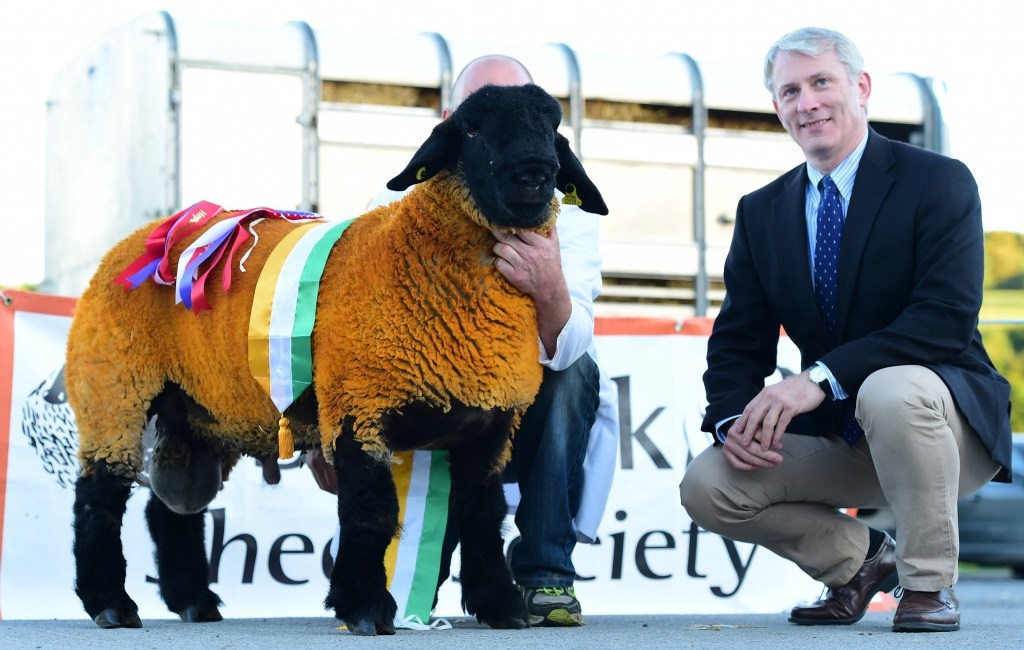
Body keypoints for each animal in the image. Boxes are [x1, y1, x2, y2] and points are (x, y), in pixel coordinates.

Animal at [68, 82, 606, 634]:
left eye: (553, 127)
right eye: (472, 129)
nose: (535, 173)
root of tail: (136, 242)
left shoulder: (491, 426)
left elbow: (483, 512)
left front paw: (500, 603)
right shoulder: (359, 405)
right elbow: (370, 511)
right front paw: (365, 606)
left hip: (202, 411)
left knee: (172, 508)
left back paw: (195, 601)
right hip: (114, 389)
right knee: (99, 497)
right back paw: (111, 603)